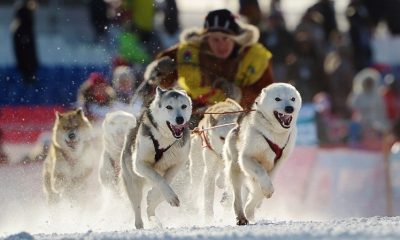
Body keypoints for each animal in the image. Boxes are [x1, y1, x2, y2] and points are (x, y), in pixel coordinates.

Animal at [120, 86, 192, 229]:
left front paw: (159, 196)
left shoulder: (178, 164)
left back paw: (153, 217)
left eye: (184, 106)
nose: (180, 119)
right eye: (169, 107)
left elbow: (165, 181)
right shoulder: (140, 164)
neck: (165, 139)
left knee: (152, 205)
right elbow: (159, 178)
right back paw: (140, 224)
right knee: (137, 207)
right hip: (133, 184)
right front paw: (168, 194)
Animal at [223, 82, 302, 225]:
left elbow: (261, 189)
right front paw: (267, 191)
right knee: (237, 197)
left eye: (292, 98)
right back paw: (241, 216)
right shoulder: (246, 158)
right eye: (277, 99)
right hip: (235, 169)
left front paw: (252, 206)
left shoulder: (278, 164)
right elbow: (261, 172)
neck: (275, 134)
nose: (289, 108)